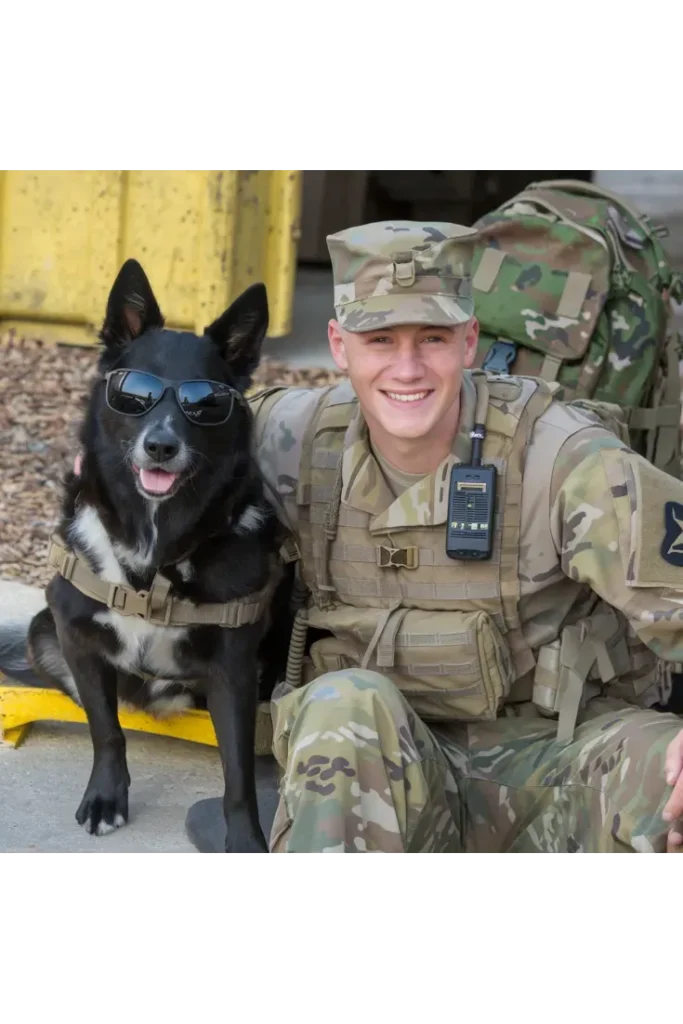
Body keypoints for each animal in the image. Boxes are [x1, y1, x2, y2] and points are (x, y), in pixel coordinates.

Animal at [24, 258, 288, 856]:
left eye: (205, 403)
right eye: (134, 393)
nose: (161, 446)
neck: (156, 546)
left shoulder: (235, 670)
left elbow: (239, 774)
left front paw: (244, 839)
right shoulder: (74, 633)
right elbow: (107, 731)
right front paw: (106, 798)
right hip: (41, 631)